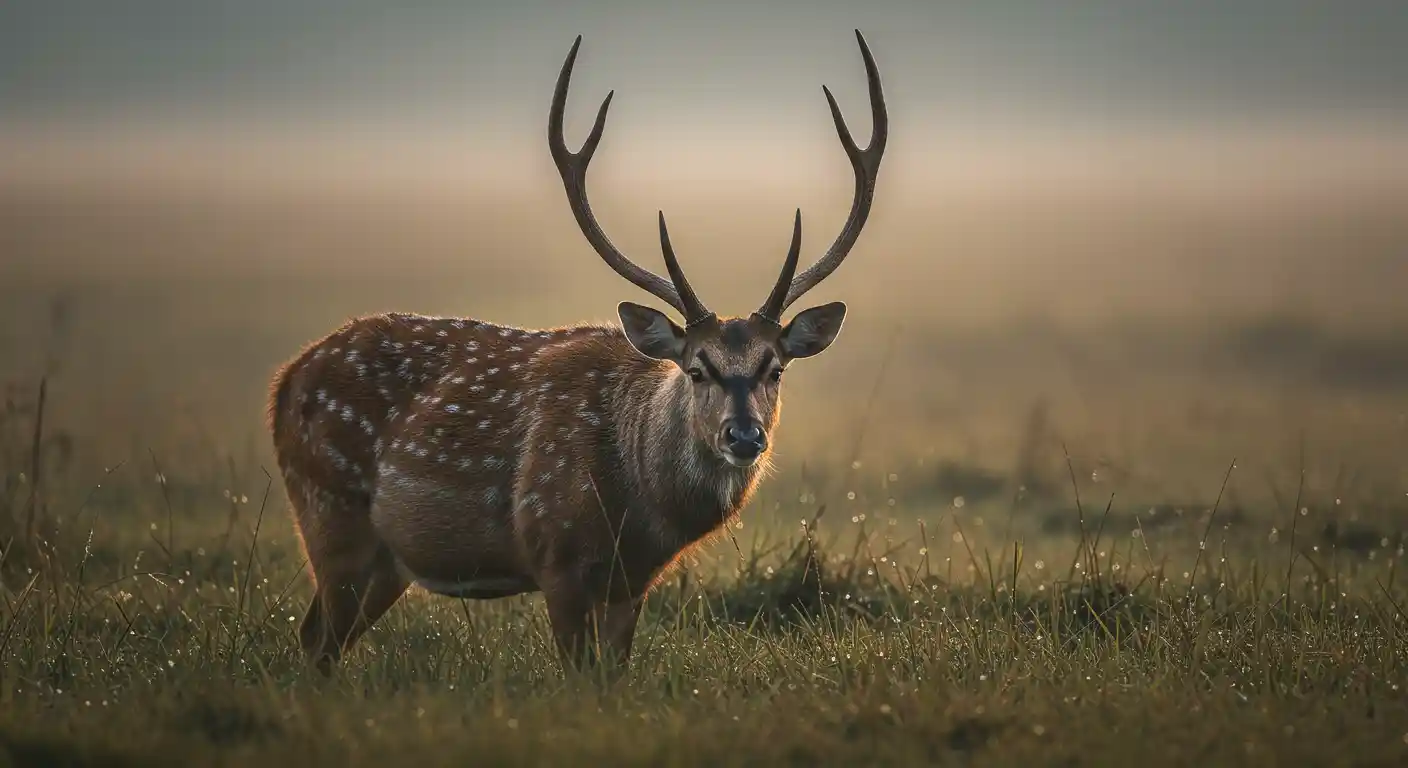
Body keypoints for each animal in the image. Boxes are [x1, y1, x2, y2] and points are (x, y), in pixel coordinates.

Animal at [267, 30, 888, 677]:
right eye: (697, 369)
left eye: (775, 369)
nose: (744, 435)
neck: (641, 507)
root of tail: (284, 381)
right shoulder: (555, 551)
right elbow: (577, 672)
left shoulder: (632, 582)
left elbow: (612, 672)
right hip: (330, 509)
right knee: (316, 637)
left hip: (386, 559)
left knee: (320, 638)